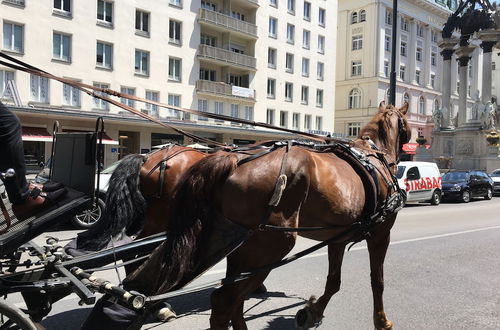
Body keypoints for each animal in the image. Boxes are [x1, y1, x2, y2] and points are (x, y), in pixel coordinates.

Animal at [124, 102, 410, 328]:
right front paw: (382, 321)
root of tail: (232, 160)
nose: (410, 145)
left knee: (233, 301)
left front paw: (312, 311)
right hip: (271, 246)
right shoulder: (381, 234)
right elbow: (377, 281)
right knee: (224, 301)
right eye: (406, 128)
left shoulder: (338, 238)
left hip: (241, 248)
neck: (374, 155)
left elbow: (334, 282)